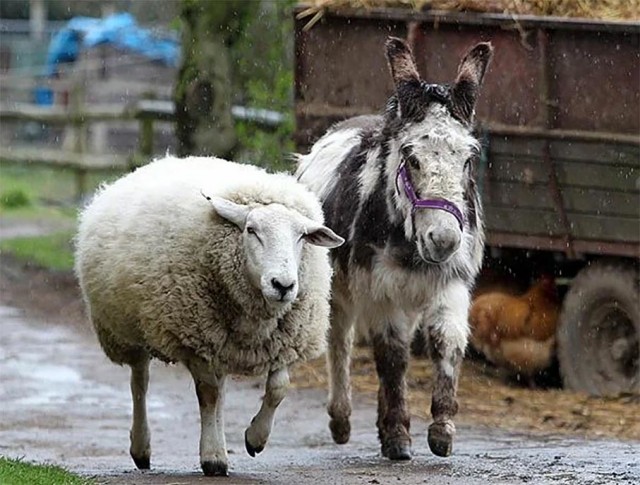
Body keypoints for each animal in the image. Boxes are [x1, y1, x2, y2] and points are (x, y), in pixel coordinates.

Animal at [74, 156, 344, 476]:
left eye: (302, 236)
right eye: (251, 230)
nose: (283, 285)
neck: (257, 318)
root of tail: (162, 161)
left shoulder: (285, 341)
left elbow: (277, 389)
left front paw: (255, 439)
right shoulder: (194, 338)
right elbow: (209, 394)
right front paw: (213, 457)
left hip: (220, 343)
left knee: (220, 391)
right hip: (130, 330)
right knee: (140, 383)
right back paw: (141, 448)